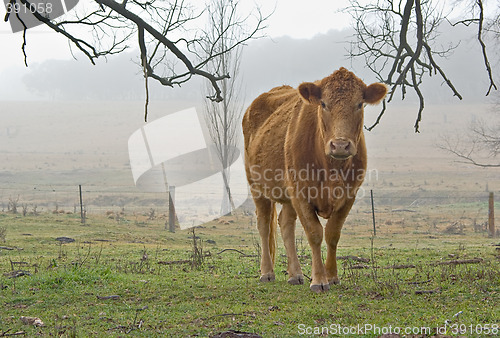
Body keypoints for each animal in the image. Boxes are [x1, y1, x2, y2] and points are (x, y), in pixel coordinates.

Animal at [242, 67, 386, 292]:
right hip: (257, 186)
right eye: (324, 104)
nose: (340, 145)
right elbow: (315, 233)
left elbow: (332, 234)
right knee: (264, 225)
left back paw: (295, 274)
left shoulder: (349, 195)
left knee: (286, 224)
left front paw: (332, 276)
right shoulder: (301, 193)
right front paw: (319, 280)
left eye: (359, 104)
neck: (331, 169)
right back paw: (267, 272)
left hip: (288, 194)